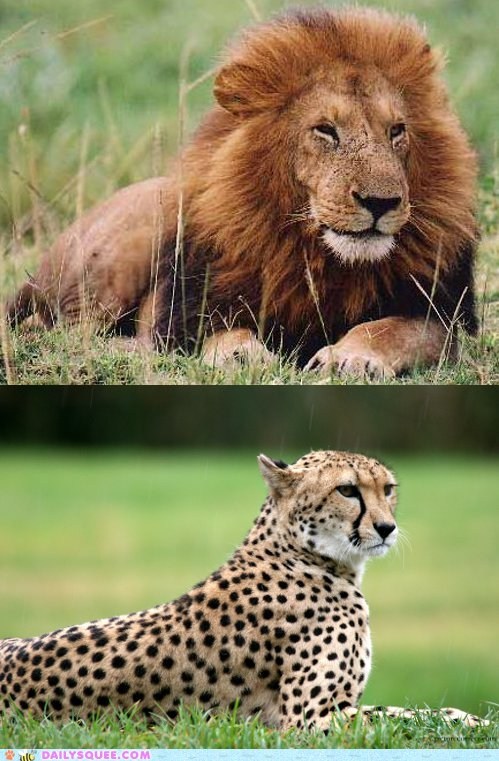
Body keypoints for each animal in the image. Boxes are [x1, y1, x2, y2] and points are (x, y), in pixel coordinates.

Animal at [0, 450, 485, 729]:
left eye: (388, 489)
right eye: (348, 490)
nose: (387, 528)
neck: (305, 555)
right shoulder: (309, 720)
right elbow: (411, 716)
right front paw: (473, 722)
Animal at [7, 7, 478, 377]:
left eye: (396, 131)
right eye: (325, 130)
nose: (381, 203)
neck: (320, 256)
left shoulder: (443, 314)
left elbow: (390, 328)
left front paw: (352, 358)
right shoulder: (192, 308)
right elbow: (222, 330)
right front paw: (242, 355)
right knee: (63, 331)